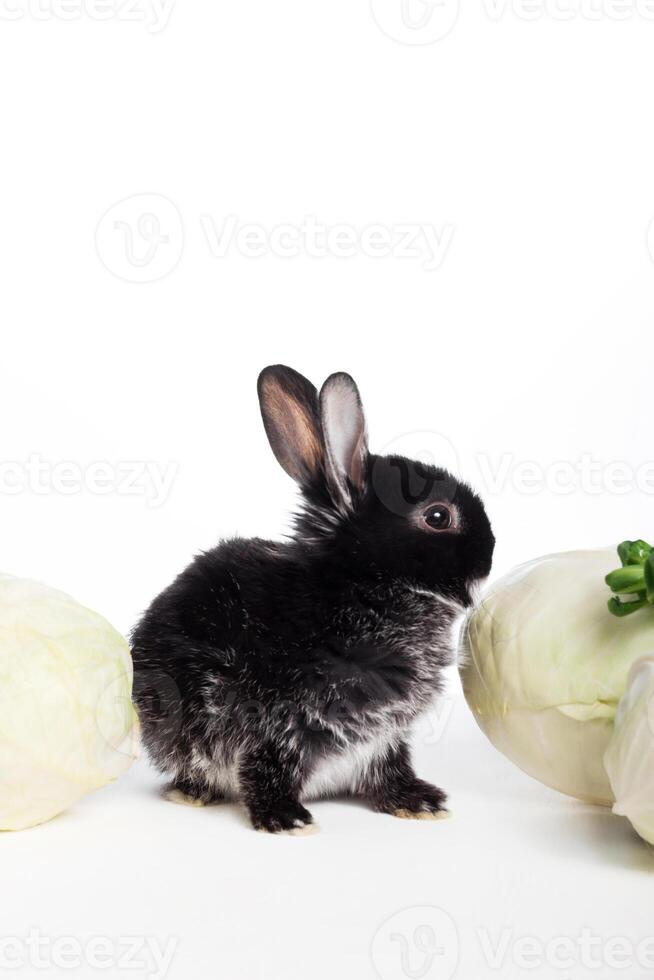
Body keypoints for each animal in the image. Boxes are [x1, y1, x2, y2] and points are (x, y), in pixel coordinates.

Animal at [131, 368, 494, 836]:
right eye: (437, 516)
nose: (490, 554)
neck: (363, 588)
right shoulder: (275, 721)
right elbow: (265, 769)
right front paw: (285, 818)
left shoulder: (383, 739)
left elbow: (390, 768)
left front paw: (418, 802)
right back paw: (191, 794)